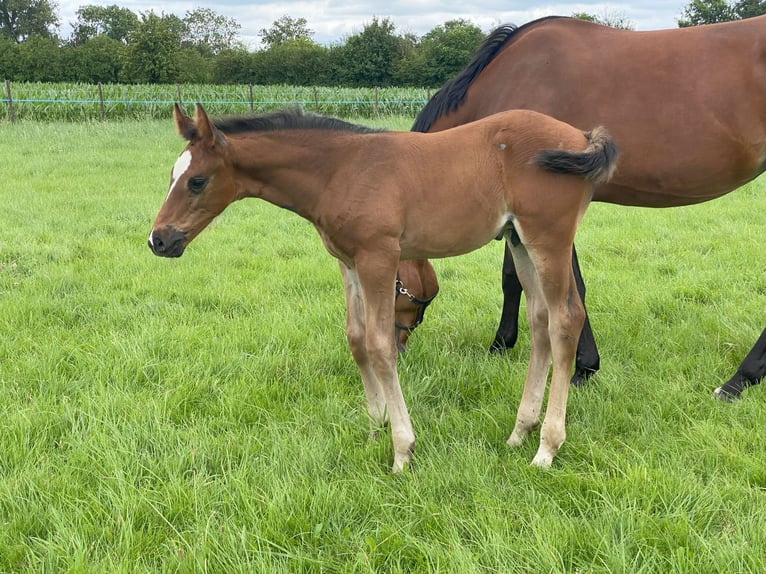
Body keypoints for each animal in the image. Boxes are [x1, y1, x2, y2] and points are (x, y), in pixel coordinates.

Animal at [148, 103, 616, 472]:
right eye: (171, 175)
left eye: (196, 181)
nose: (159, 240)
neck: (339, 170)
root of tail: (580, 136)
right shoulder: (348, 261)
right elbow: (356, 339)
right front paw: (377, 426)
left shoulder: (379, 256)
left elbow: (379, 345)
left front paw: (402, 449)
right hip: (518, 240)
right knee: (540, 321)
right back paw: (520, 432)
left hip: (548, 238)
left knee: (565, 319)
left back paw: (546, 448)